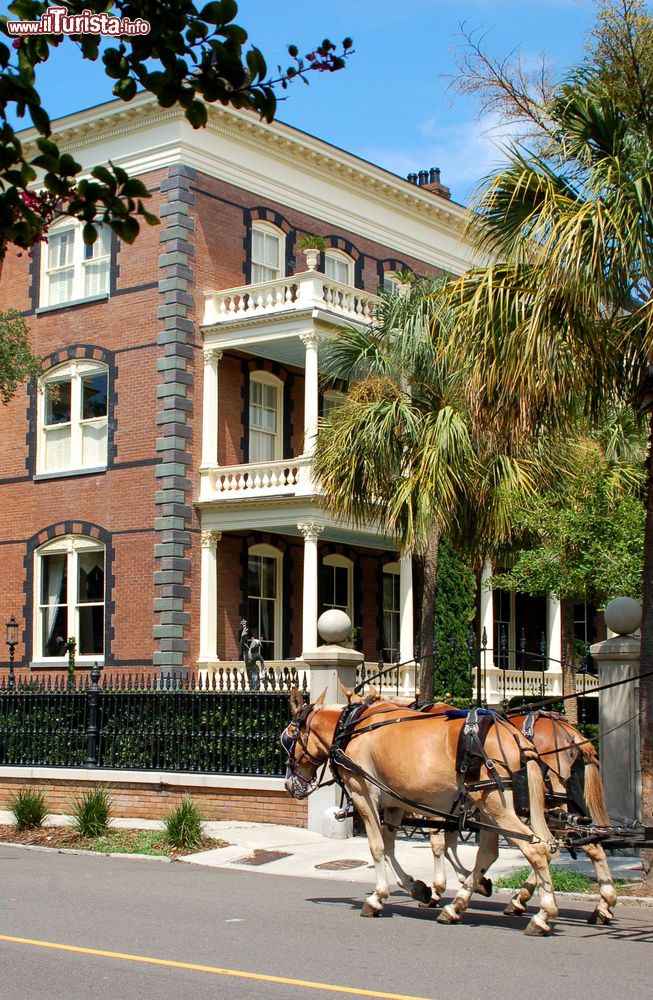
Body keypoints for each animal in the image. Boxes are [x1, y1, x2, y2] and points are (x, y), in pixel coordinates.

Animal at [282, 684, 556, 932]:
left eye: (287, 738)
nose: (288, 784)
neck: (350, 729)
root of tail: (517, 738)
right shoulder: (396, 804)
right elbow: (391, 847)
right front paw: (417, 889)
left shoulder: (364, 795)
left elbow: (379, 847)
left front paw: (377, 897)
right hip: (489, 809)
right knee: (496, 851)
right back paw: (457, 905)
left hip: (495, 805)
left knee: (536, 848)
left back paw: (542, 914)